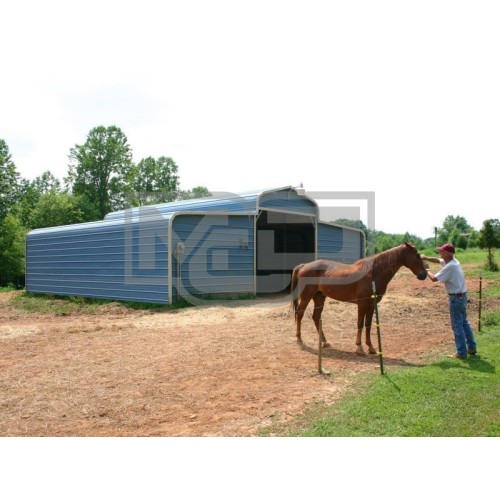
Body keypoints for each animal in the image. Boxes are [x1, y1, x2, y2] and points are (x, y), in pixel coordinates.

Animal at [292, 243, 428, 356]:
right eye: (417, 255)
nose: (424, 275)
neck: (373, 273)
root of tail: (304, 265)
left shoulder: (372, 305)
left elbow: (368, 324)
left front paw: (371, 348)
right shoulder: (362, 303)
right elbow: (360, 323)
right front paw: (359, 348)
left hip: (319, 297)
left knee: (316, 317)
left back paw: (324, 342)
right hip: (306, 297)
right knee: (300, 314)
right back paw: (299, 339)